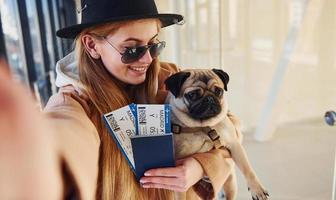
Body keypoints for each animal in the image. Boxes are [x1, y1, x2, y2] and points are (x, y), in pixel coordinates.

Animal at [164, 69, 270, 200]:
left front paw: (257, 189)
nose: (209, 98)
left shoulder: (235, 145)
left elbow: (247, 169)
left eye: (218, 91)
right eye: (192, 95)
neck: (202, 126)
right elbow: (180, 193)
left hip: (231, 184)